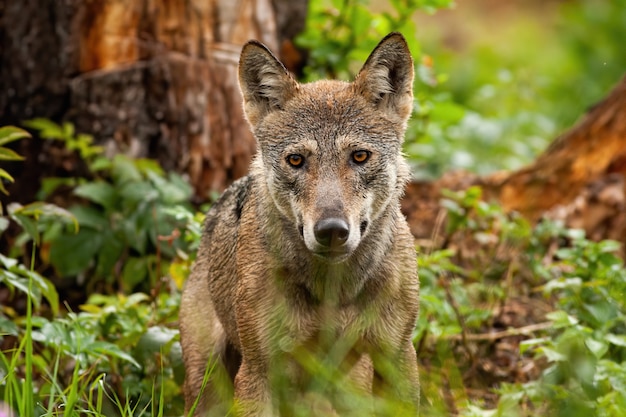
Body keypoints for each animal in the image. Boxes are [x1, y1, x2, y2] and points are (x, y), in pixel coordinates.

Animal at [178, 32, 416, 416]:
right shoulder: (257, 371)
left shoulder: (398, 358)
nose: (331, 230)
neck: (334, 290)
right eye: (295, 160)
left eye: (360, 156)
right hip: (208, 383)